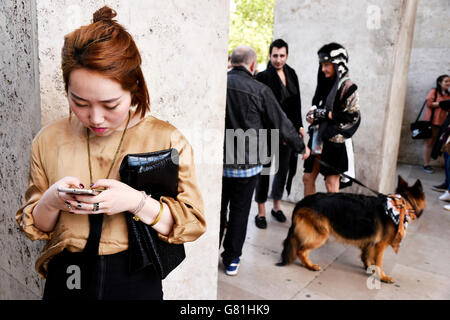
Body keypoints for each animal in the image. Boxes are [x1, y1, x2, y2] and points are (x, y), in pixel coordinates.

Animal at [278, 176, 426, 284]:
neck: (399, 205)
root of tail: (302, 202)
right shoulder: (380, 245)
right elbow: (378, 262)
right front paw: (382, 277)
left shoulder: (370, 242)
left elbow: (366, 256)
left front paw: (369, 268)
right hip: (321, 235)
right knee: (301, 251)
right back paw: (310, 266)